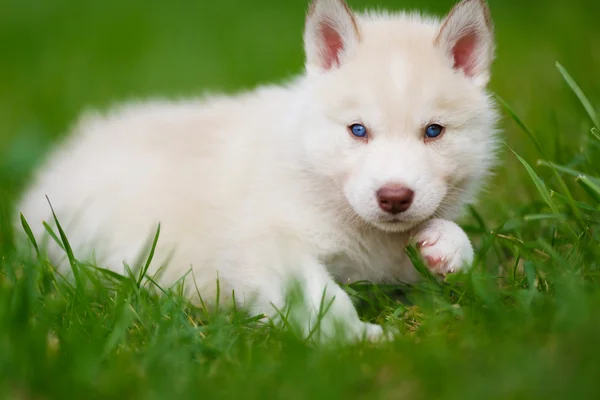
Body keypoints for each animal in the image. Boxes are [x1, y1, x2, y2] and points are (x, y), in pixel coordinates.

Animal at [16, 0, 500, 342]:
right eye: (358, 130)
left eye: (433, 131)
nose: (394, 197)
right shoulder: (267, 244)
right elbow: (322, 296)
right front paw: (354, 337)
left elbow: (462, 244)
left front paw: (444, 245)